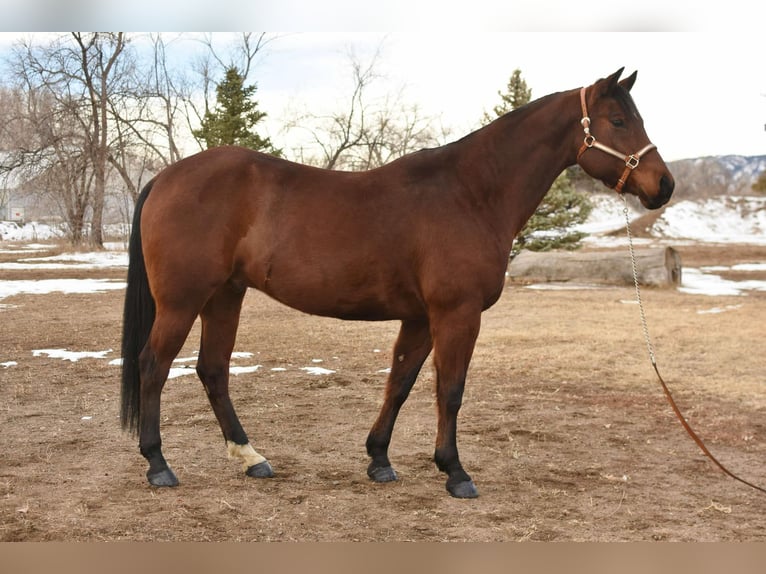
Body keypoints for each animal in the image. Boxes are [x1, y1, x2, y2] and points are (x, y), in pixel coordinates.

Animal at [121, 68, 674, 498]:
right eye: (618, 121)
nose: (664, 185)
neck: (470, 193)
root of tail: (165, 177)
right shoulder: (456, 314)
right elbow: (450, 390)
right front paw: (455, 472)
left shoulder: (420, 318)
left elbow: (401, 384)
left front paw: (379, 460)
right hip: (183, 301)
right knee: (154, 365)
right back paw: (159, 465)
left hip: (225, 296)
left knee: (213, 370)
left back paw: (251, 457)